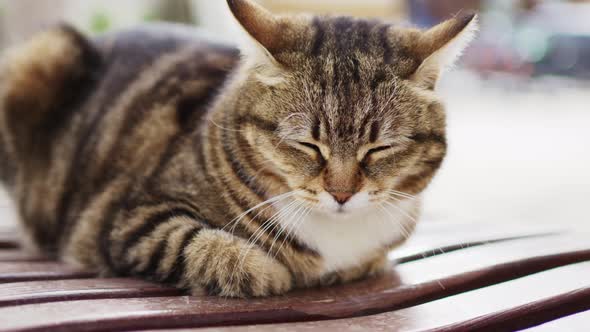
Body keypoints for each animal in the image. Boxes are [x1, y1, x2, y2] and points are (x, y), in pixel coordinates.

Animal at [0, 0, 478, 296]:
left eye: (379, 149)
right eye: (307, 144)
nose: (342, 194)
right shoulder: (127, 217)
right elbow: (199, 244)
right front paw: (273, 270)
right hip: (42, 56)